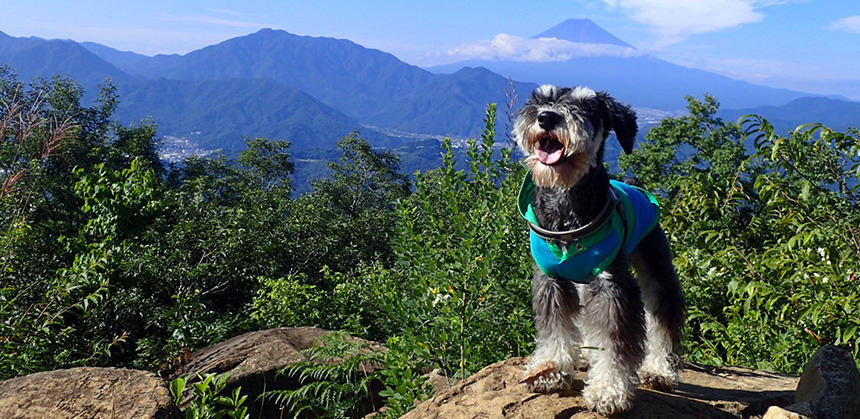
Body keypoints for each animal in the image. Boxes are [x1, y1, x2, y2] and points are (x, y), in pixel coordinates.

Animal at [510, 85, 684, 416]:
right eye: (541, 99)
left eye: (587, 107)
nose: (546, 117)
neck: (565, 206)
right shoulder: (551, 281)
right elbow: (554, 327)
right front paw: (550, 368)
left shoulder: (611, 286)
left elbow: (615, 340)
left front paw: (609, 390)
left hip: (655, 265)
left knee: (662, 316)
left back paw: (660, 369)